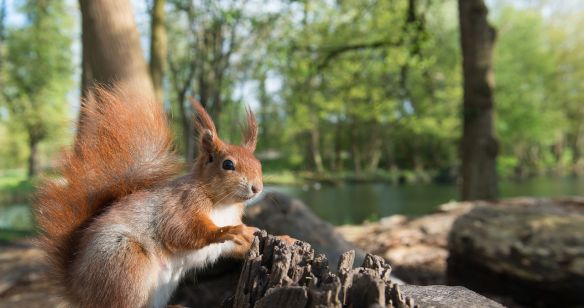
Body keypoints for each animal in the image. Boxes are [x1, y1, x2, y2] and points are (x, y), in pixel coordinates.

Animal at [35, 88, 264, 308]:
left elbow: (235, 246)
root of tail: (78, 291)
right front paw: (226, 231)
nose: (257, 188)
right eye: (228, 164)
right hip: (126, 262)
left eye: (259, 164)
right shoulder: (181, 205)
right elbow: (182, 230)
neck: (225, 204)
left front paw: (258, 235)